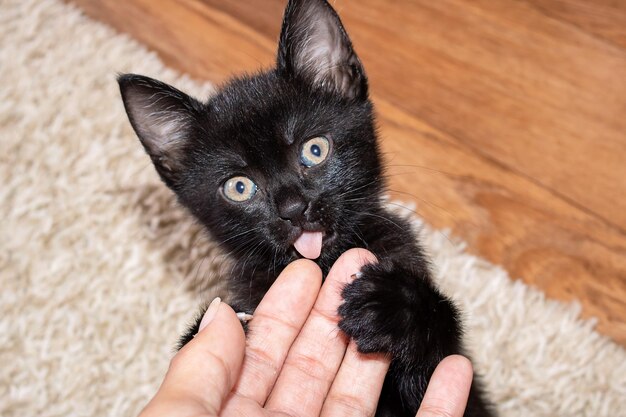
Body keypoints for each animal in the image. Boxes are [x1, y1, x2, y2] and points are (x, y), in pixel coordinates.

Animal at [118, 1, 492, 414]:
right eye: (239, 187)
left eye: (314, 150)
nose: (294, 207)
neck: (324, 265)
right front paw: (216, 329)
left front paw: (389, 304)